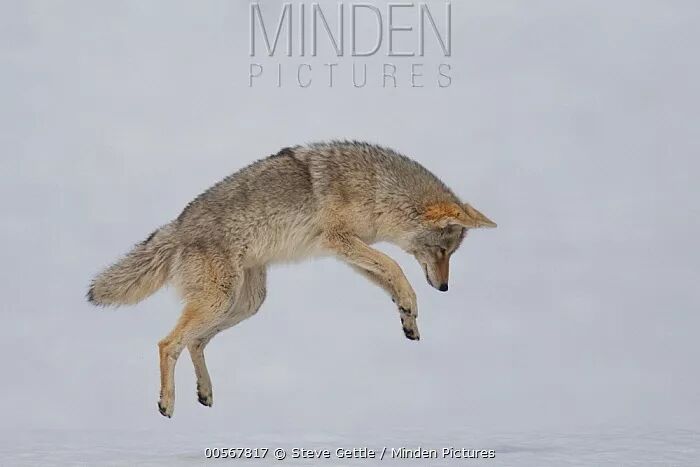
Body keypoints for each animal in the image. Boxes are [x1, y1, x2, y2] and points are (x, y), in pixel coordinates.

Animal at [87, 141, 496, 418]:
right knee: (167, 343)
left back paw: (204, 393)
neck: (377, 189)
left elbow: (389, 278)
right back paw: (167, 403)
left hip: (245, 304)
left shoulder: (349, 252)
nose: (443, 287)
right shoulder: (341, 242)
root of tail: (176, 225)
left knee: (195, 342)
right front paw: (410, 304)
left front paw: (408, 317)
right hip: (220, 300)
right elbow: (395, 267)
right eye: (442, 252)